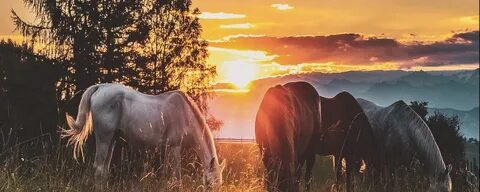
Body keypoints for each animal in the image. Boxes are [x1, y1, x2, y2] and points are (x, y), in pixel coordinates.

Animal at [61, 83, 224, 190]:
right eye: (209, 184)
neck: (185, 114)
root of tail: (100, 87)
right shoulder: (174, 148)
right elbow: (176, 176)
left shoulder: (167, 149)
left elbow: (166, 174)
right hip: (104, 138)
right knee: (99, 168)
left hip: (112, 139)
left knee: (104, 169)